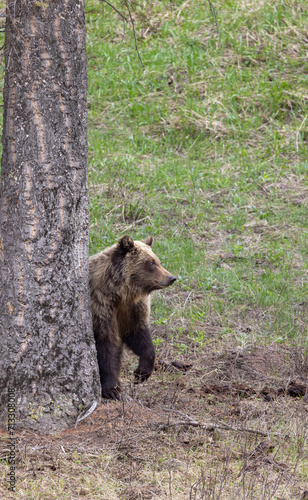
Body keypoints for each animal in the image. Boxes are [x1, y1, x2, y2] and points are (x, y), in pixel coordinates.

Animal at [89, 236, 176, 400]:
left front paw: (141, 373)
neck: (122, 294)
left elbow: (139, 335)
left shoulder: (132, 310)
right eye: (151, 263)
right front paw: (112, 389)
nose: (171, 277)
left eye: (158, 260)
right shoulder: (101, 306)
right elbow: (106, 344)